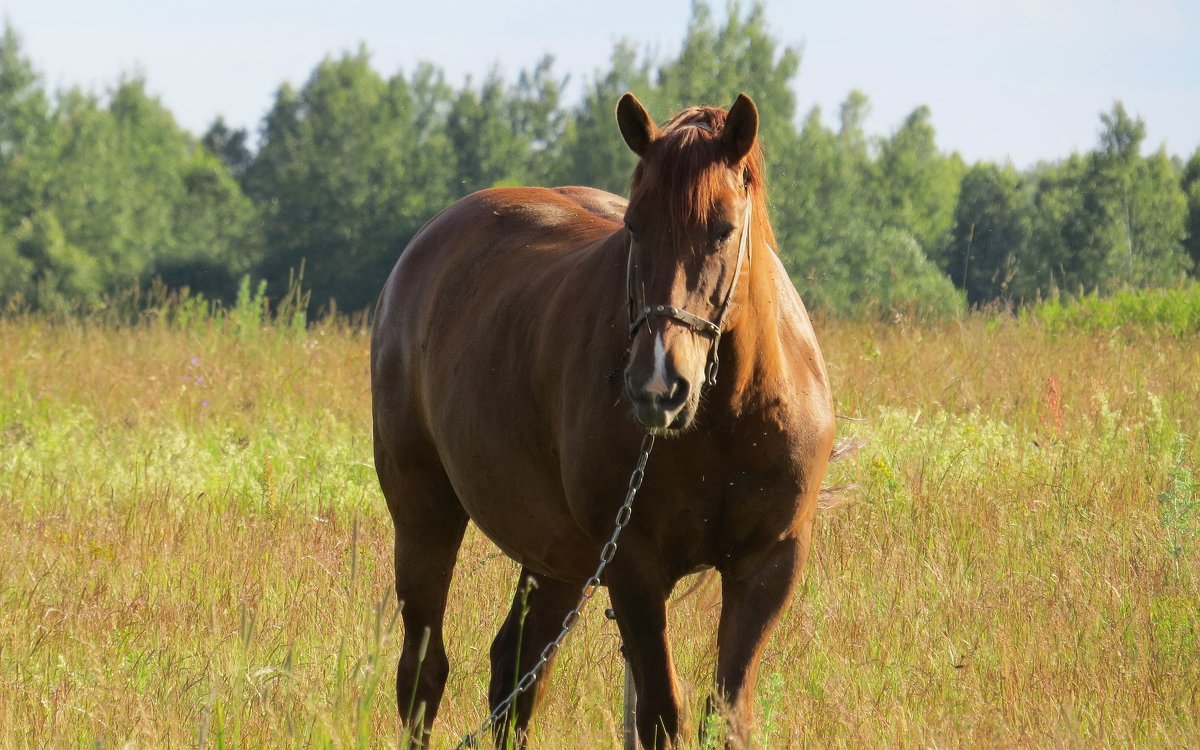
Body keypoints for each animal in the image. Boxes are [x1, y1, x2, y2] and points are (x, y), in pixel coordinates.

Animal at [372, 90, 835, 744]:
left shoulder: (768, 566)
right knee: (423, 674)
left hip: (559, 557)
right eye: (635, 224)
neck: (725, 423)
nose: (658, 385)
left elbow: (728, 714)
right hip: (424, 514)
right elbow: (661, 715)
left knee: (515, 670)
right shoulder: (635, 569)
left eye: (723, 229)